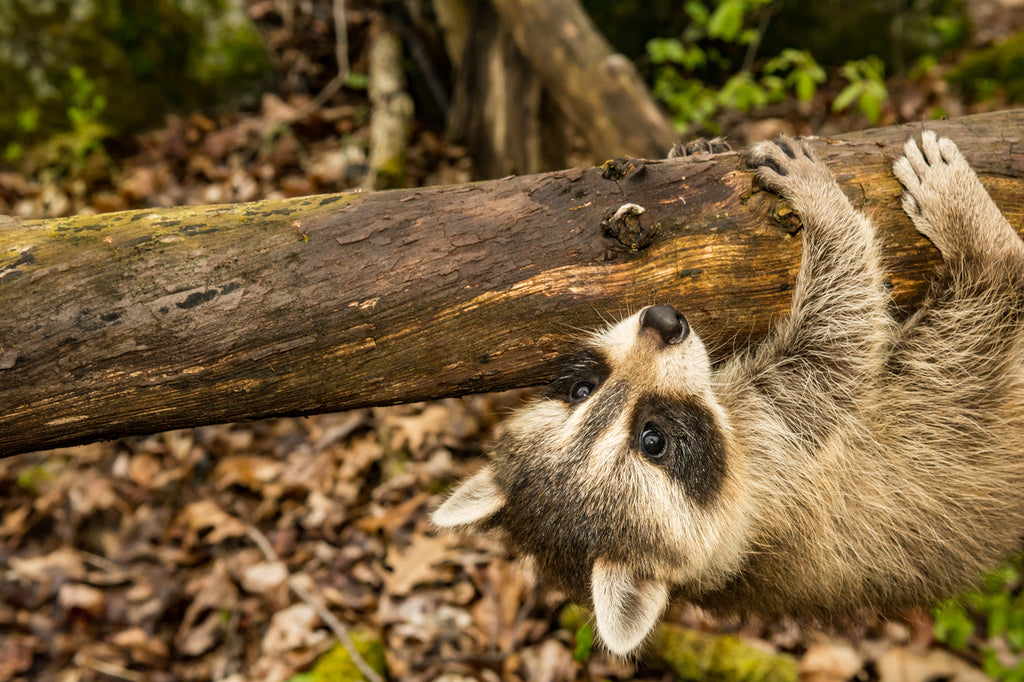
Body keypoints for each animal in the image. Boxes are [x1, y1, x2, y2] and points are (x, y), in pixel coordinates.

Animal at [430, 131, 1024, 655]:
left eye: (582, 388)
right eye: (652, 441)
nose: (663, 320)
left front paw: (696, 149)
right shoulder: (774, 448)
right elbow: (840, 334)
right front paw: (824, 208)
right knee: (978, 316)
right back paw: (978, 237)